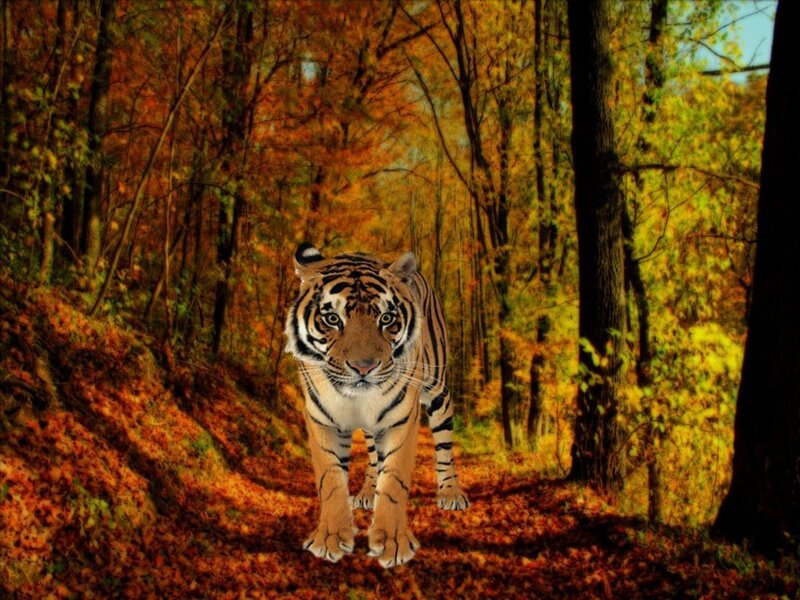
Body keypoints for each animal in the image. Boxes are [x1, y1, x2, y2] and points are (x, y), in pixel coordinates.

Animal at [284, 243, 469, 568]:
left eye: (386, 319)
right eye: (332, 319)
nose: (364, 367)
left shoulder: (402, 419)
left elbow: (394, 481)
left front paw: (393, 545)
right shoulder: (322, 421)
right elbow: (330, 480)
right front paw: (329, 540)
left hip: (437, 388)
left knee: (444, 442)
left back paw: (451, 492)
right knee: (373, 457)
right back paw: (368, 491)